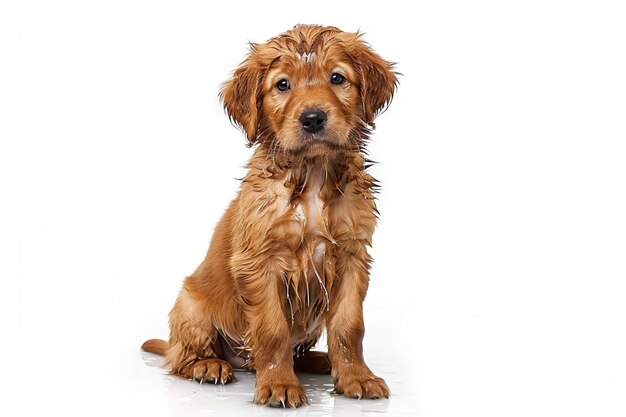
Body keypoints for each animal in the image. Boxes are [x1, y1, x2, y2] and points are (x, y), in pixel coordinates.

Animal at [141, 23, 394, 406]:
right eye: (282, 84)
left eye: (337, 78)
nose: (313, 118)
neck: (311, 175)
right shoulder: (260, 262)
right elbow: (273, 330)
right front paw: (279, 384)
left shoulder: (353, 255)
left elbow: (349, 326)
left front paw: (356, 377)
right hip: (190, 308)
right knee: (180, 357)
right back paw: (208, 365)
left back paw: (320, 361)